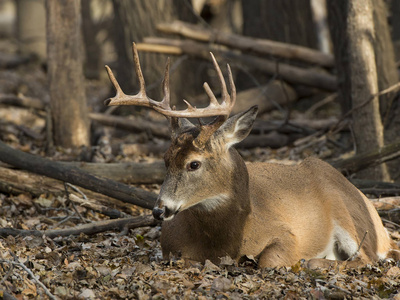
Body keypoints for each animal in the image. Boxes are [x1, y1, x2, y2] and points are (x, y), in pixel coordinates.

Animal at [104, 43, 398, 268]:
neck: (223, 243)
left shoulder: (287, 233)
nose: (159, 210)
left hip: (351, 215)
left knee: (368, 257)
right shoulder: (170, 246)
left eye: (194, 164)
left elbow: (270, 260)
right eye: (165, 160)